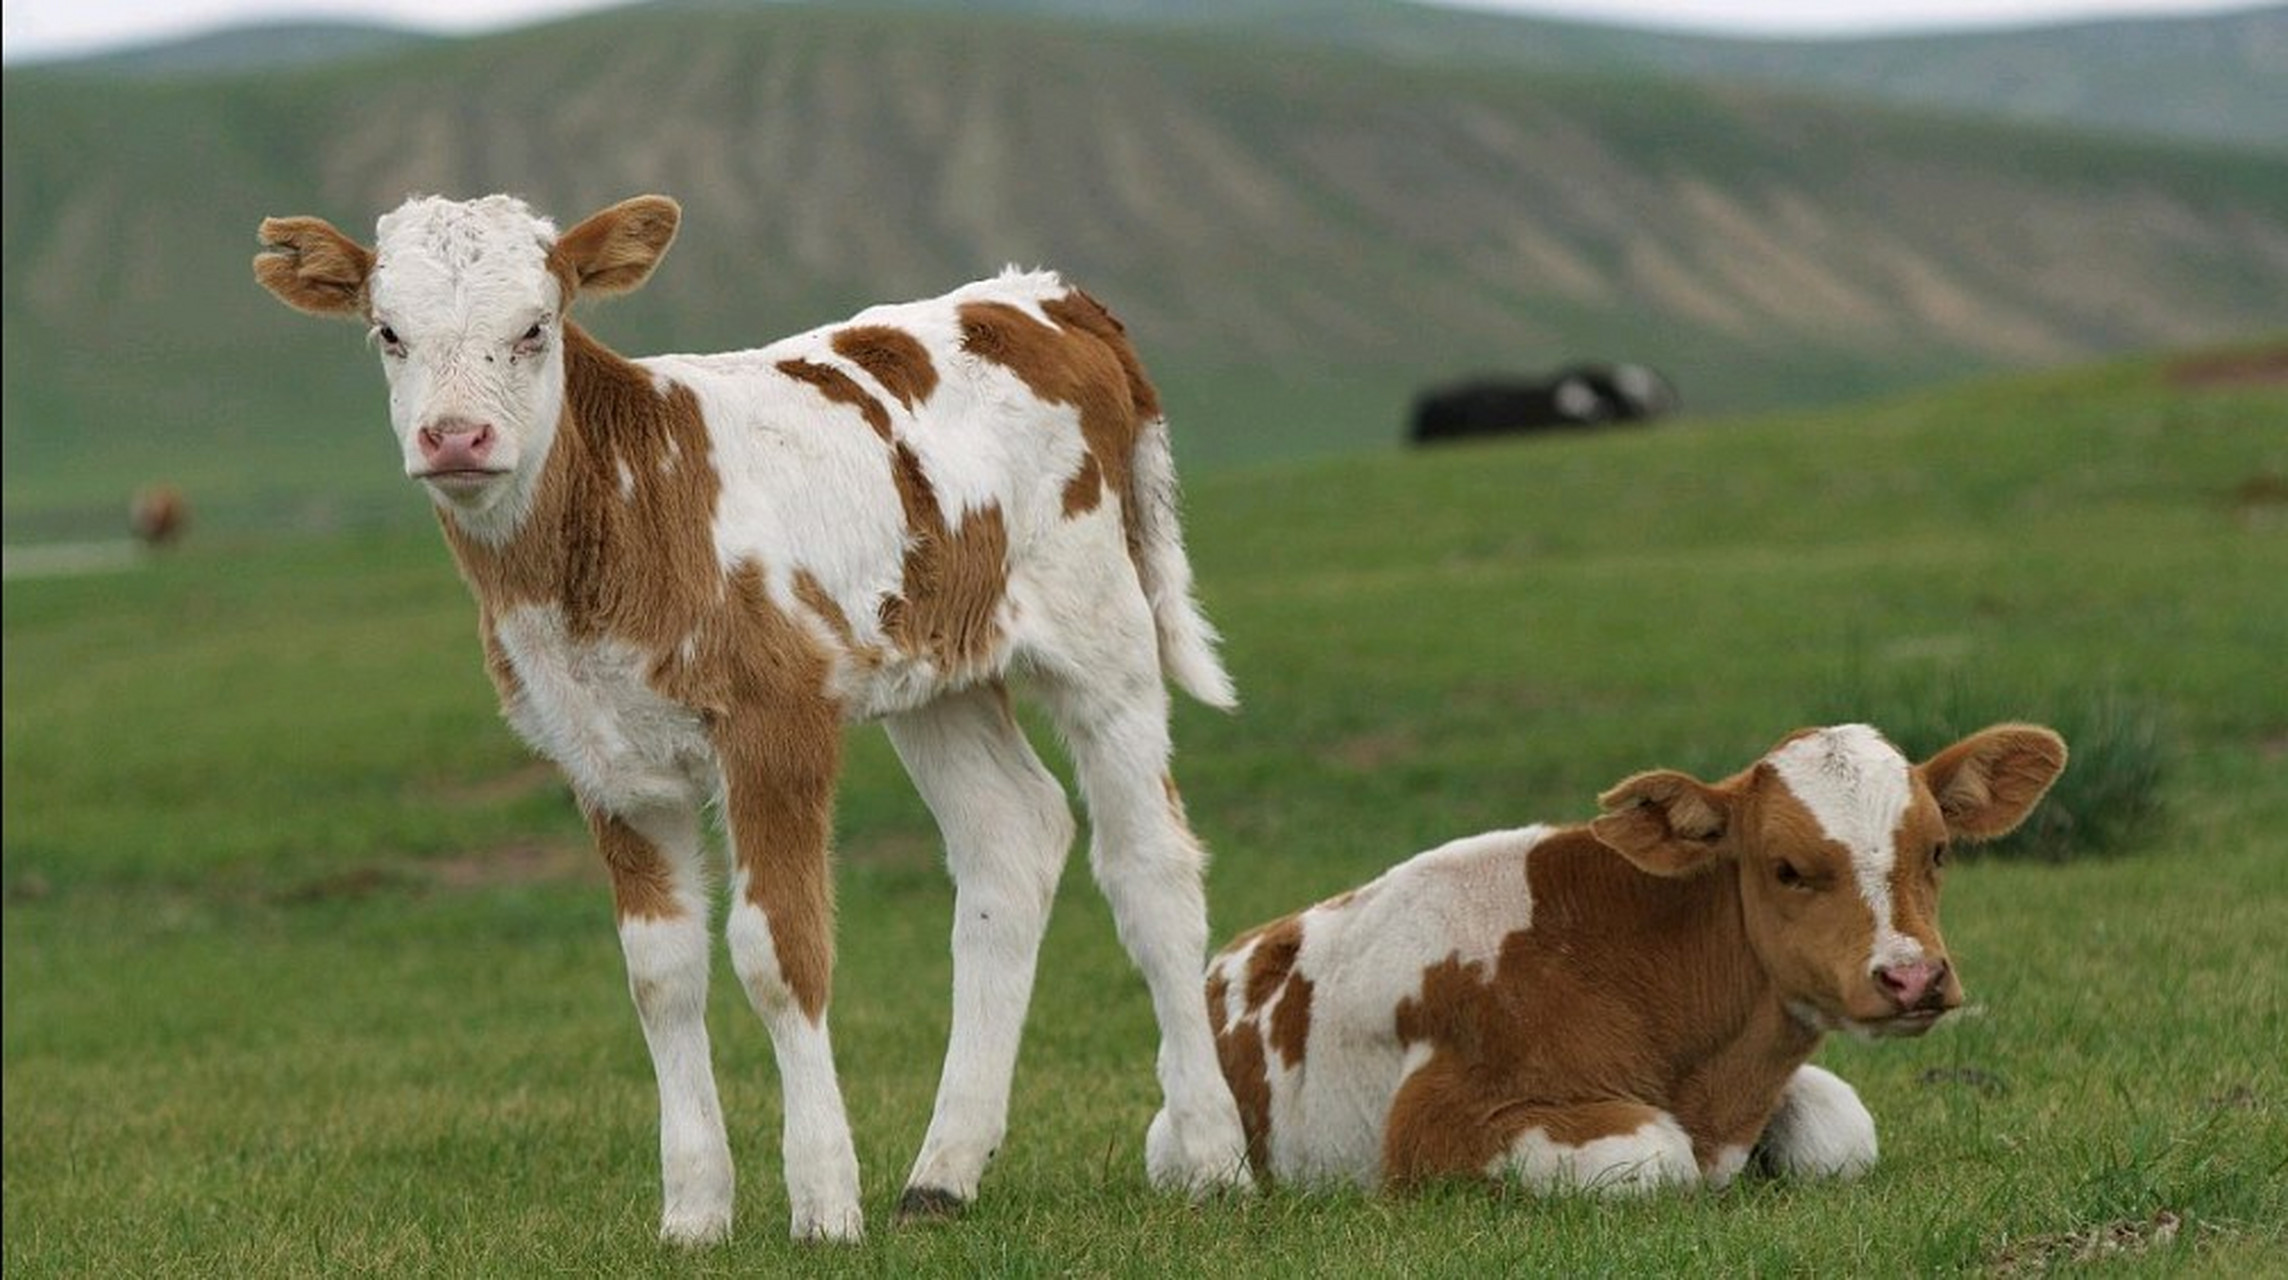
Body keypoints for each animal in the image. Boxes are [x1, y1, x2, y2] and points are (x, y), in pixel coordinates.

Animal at [252, 195, 1253, 1245]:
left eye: (535, 327)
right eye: (387, 332)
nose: (455, 437)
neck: (630, 504)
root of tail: (1047, 297)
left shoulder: (777, 725)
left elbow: (780, 954)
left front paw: (823, 1201)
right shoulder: (602, 758)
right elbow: (661, 975)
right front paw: (694, 1210)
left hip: (1104, 633)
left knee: (1149, 866)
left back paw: (1213, 1153)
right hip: (941, 676)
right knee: (1009, 840)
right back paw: (942, 1174)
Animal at [1208, 723, 2068, 1190]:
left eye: (1938, 851)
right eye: (1786, 867)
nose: (1912, 977)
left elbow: (1840, 1128)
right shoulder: (1434, 1128)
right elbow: (1659, 1153)